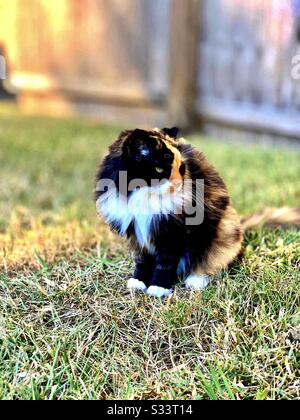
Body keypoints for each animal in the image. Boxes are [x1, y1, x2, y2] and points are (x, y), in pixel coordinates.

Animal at [95, 128, 300, 298]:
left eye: (181, 169)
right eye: (159, 169)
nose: (178, 184)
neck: (144, 197)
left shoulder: (174, 232)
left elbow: (165, 263)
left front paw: (159, 288)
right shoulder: (135, 233)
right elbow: (142, 261)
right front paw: (138, 282)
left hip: (224, 229)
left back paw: (196, 280)